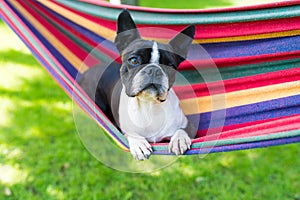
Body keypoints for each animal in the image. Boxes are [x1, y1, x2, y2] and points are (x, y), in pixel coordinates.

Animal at [79, 9, 197, 161]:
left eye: (170, 66)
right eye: (134, 60)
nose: (153, 70)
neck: (149, 106)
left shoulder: (190, 125)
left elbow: (182, 130)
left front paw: (179, 139)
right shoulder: (122, 129)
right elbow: (130, 132)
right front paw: (139, 143)